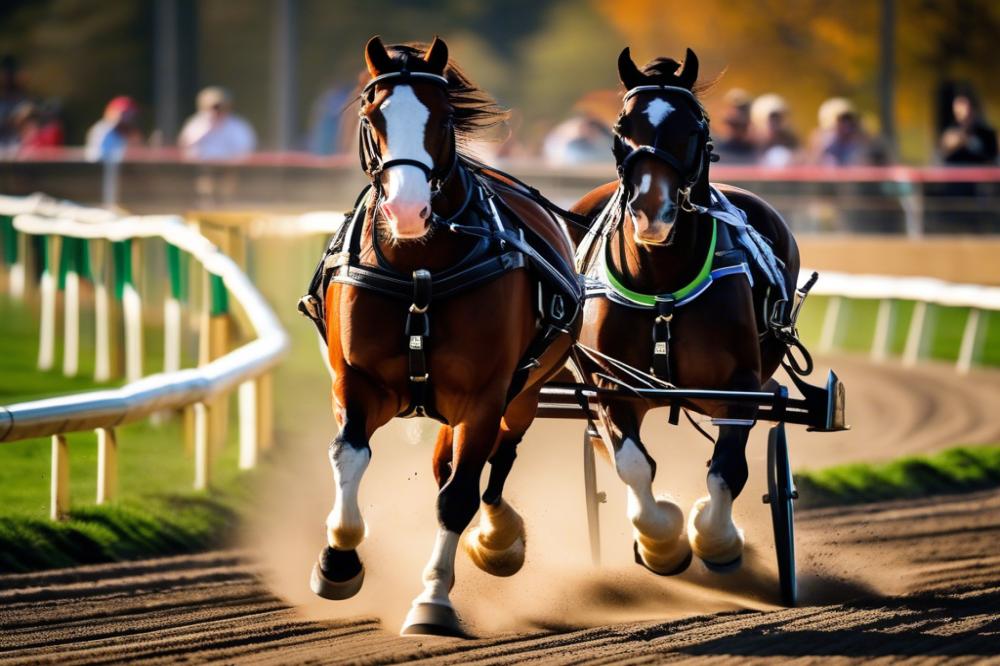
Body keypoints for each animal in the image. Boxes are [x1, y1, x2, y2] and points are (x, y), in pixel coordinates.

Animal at [304, 35, 584, 632]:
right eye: (372, 116)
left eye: (445, 116)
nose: (408, 209)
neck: (420, 270)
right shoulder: (356, 381)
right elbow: (349, 454)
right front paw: (338, 561)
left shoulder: (483, 395)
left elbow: (459, 495)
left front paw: (433, 598)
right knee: (446, 464)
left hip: (526, 389)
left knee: (496, 459)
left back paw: (499, 535)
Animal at [572, 49, 804, 572]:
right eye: (623, 125)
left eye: (693, 126)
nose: (650, 212)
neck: (662, 283)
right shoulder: (610, 384)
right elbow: (633, 464)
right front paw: (662, 542)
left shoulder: (738, 387)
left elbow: (726, 471)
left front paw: (716, 539)